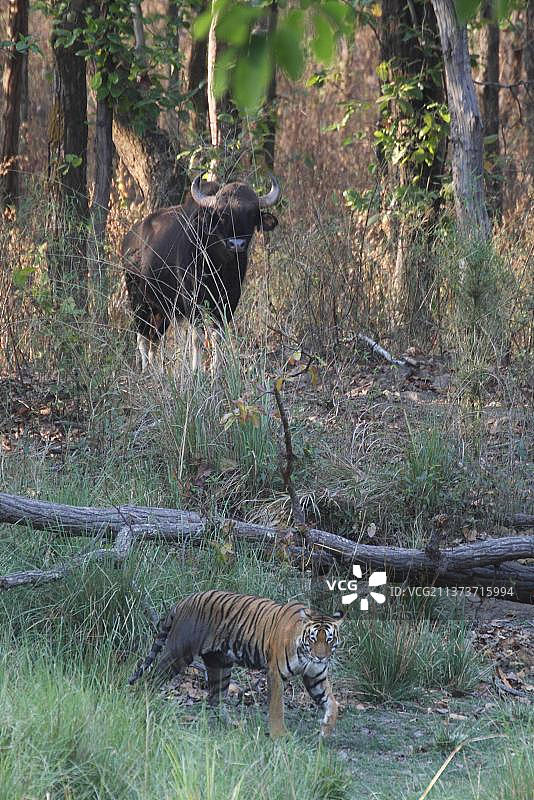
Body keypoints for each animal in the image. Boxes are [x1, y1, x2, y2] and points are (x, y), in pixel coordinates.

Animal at [128, 590, 344, 737]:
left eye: (329, 639)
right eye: (313, 638)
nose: (321, 657)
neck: (305, 653)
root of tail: (184, 601)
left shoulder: (315, 676)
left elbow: (332, 703)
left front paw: (326, 728)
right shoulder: (275, 673)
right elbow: (277, 707)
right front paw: (280, 735)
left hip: (220, 665)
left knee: (215, 699)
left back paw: (233, 726)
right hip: (178, 652)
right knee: (152, 677)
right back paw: (143, 703)